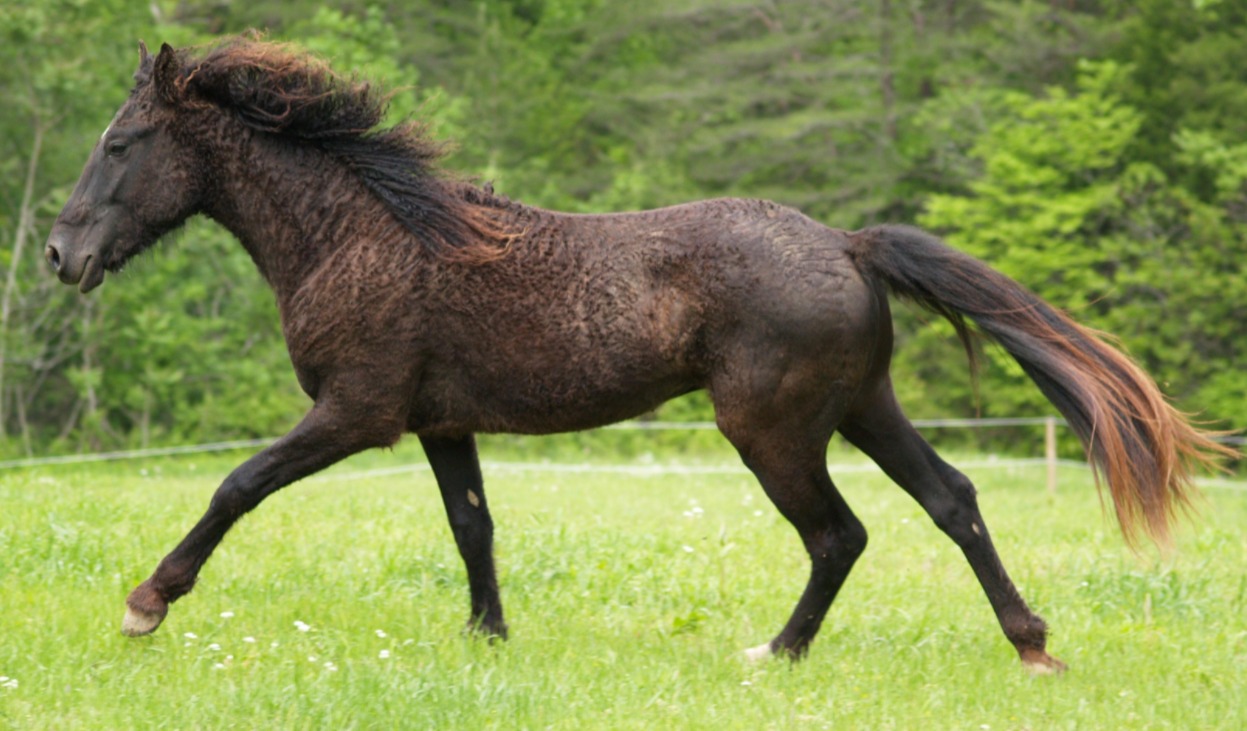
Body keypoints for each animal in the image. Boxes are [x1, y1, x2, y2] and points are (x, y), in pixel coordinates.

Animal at [46, 36, 1227, 668]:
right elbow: (473, 526)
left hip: (770, 428)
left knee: (838, 533)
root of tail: (846, 241)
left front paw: (145, 602)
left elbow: (236, 485)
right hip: (862, 407)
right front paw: (489, 640)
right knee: (951, 498)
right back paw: (1028, 642)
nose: (60, 254)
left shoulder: (356, 412)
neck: (367, 236)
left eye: (118, 142)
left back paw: (775, 653)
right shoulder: (440, 423)